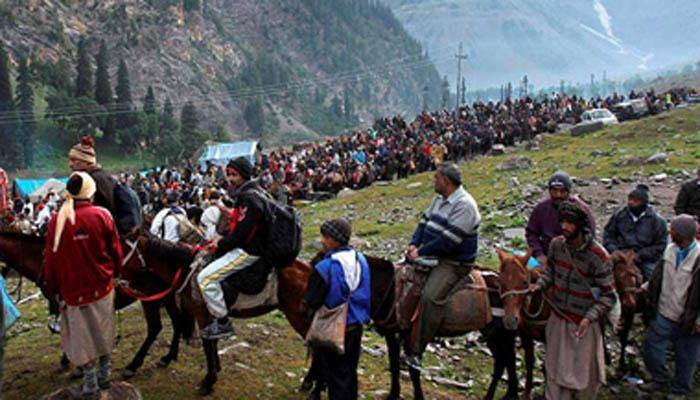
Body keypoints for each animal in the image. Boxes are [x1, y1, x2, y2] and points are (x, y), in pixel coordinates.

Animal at [0, 231, 194, 378]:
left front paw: (75, 363)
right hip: (165, 296)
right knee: (177, 321)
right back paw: (168, 357)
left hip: (149, 296)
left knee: (155, 327)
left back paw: (133, 365)